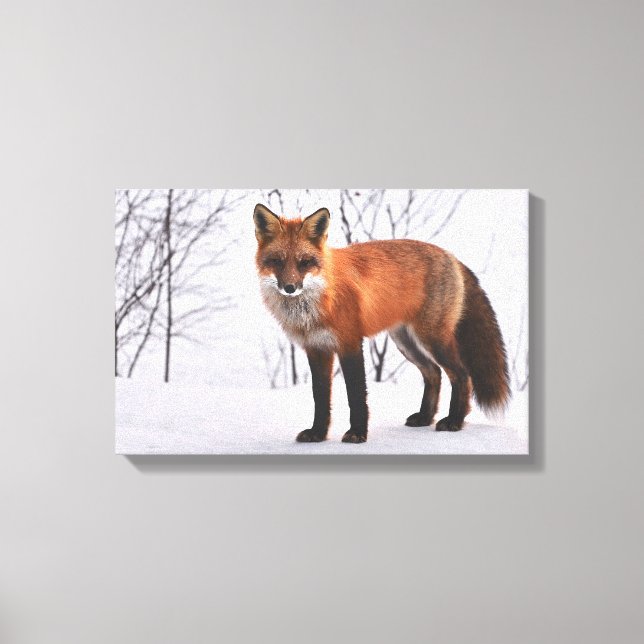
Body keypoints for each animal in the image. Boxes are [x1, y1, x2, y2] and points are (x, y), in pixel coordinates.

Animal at [253, 203, 510, 444]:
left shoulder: (350, 343)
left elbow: (356, 395)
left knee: (462, 375)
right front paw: (318, 433)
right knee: (433, 373)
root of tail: (451, 256)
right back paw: (425, 417)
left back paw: (454, 420)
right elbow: (320, 397)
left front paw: (357, 433)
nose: (290, 288)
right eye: (277, 261)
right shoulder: (316, 349)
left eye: (305, 262)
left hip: (432, 339)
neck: (318, 301)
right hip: (406, 342)